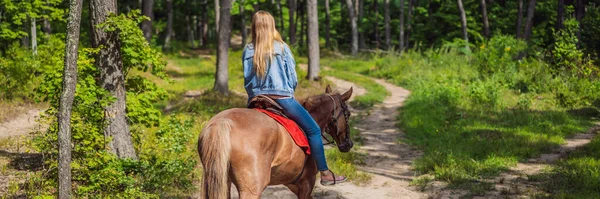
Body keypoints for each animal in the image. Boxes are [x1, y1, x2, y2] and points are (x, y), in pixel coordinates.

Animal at [199, 86, 354, 199]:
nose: (349, 144)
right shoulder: (306, 184)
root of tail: (222, 122)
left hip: (221, 181)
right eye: (348, 114)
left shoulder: (292, 184)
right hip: (251, 190)